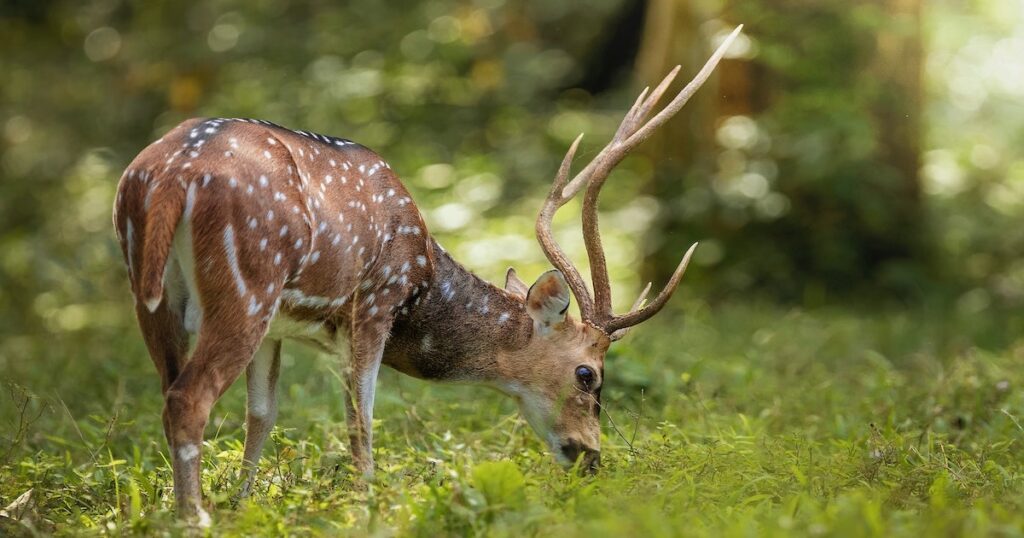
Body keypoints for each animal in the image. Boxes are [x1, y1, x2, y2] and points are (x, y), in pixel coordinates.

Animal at [112, 27, 741, 522]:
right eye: (588, 375)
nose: (590, 456)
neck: (424, 279)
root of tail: (169, 175)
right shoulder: (374, 300)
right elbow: (361, 419)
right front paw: (367, 504)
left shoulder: (282, 326)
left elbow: (261, 416)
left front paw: (244, 507)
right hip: (247, 282)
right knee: (188, 398)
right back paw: (192, 519)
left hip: (156, 294)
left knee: (169, 390)